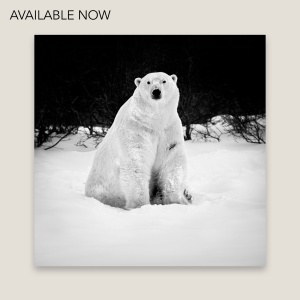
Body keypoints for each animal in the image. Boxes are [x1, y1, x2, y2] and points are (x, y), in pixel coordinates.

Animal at [84, 72, 192, 209]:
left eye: (164, 81)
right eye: (148, 82)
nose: (156, 91)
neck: (155, 121)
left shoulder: (169, 129)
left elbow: (172, 159)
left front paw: (176, 201)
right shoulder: (136, 129)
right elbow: (136, 162)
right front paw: (140, 205)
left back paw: (185, 195)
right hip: (104, 191)